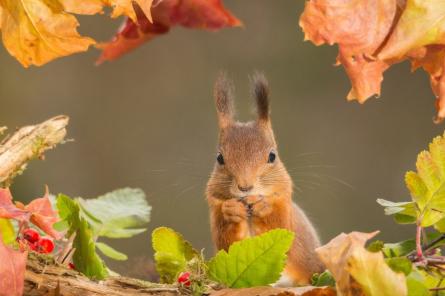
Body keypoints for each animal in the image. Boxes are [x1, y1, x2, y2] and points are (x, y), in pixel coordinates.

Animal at [205, 73, 322, 286]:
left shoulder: (285, 209)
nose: (245, 187)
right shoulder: (215, 212)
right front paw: (231, 210)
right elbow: (227, 243)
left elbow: (282, 227)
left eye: (272, 156)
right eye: (219, 158)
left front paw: (264, 206)